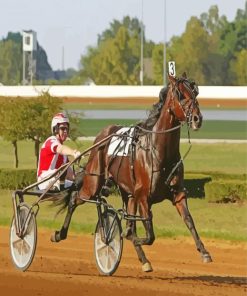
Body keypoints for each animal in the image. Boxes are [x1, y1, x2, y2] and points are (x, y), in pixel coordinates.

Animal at [50, 73, 212, 272]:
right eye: (180, 94)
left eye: (195, 92)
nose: (197, 118)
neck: (157, 150)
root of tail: (103, 134)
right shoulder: (143, 196)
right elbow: (147, 235)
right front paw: (124, 238)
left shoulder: (177, 194)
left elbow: (189, 221)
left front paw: (204, 252)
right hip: (94, 183)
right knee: (74, 199)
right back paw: (60, 234)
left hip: (128, 194)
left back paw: (144, 261)